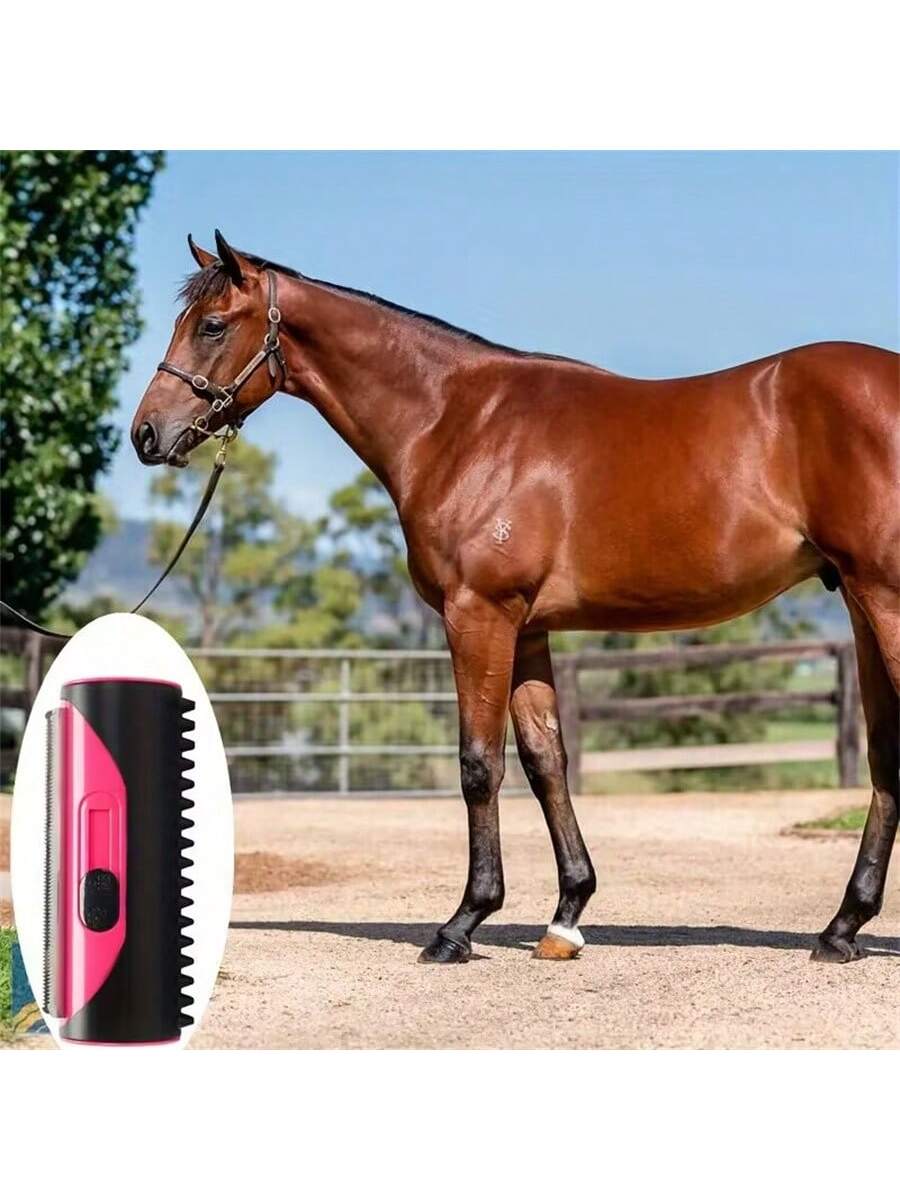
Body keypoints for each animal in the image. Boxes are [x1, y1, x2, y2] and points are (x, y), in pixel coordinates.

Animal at [132, 230, 899, 966]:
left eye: (211, 325)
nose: (146, 434)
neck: (456, 422)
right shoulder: (527, 628)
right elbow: (543, 760)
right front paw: (566, 918)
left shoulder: (479, 614)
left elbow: (479, 764)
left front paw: (462, 923)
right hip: (862, 605)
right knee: (884, 758)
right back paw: (840, 929)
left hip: (883, 598)